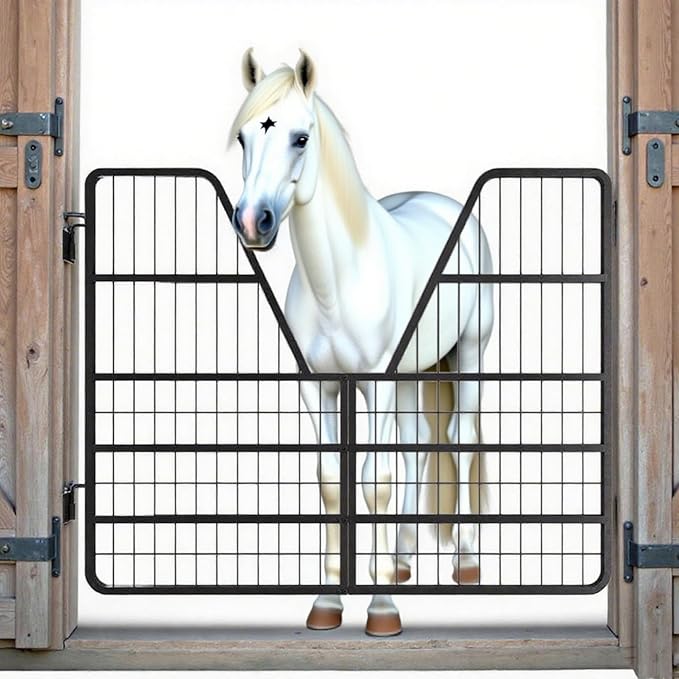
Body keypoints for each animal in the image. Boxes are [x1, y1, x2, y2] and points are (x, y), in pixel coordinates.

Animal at [229, 49, 494, 636]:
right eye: (243, 138)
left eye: (301, 137)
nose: (254, 222)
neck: (338, 282)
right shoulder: (320, 389)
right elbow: (332, 481)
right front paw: (327, 603)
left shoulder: (376, 385)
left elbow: (375, 481)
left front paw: (382, 611)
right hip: (415, 371)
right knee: (419, 443)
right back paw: (402, 562)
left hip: (468, 353)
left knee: (459, 438)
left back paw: (465, 564)